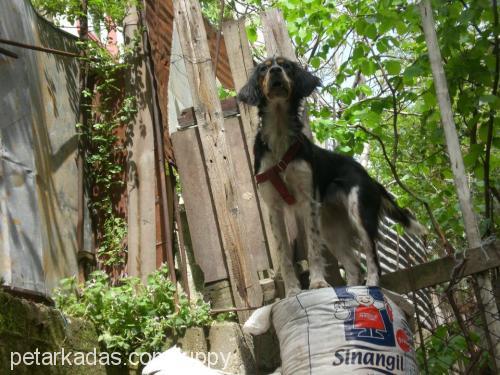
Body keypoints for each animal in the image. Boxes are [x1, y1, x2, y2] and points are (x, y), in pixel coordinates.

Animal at [238, 56, 426, 296]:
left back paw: (372, 286)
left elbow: (313, 249)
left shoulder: (307, 203)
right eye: (263, 69)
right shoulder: (274, 208)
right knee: (353, 265)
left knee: (372, 259)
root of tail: (367, 176)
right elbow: (284, 255)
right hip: (331, 228)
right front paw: (292, 290)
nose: (276, 71)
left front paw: (318, 282)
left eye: (286, 65)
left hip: (359, 213)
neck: (280, 138)